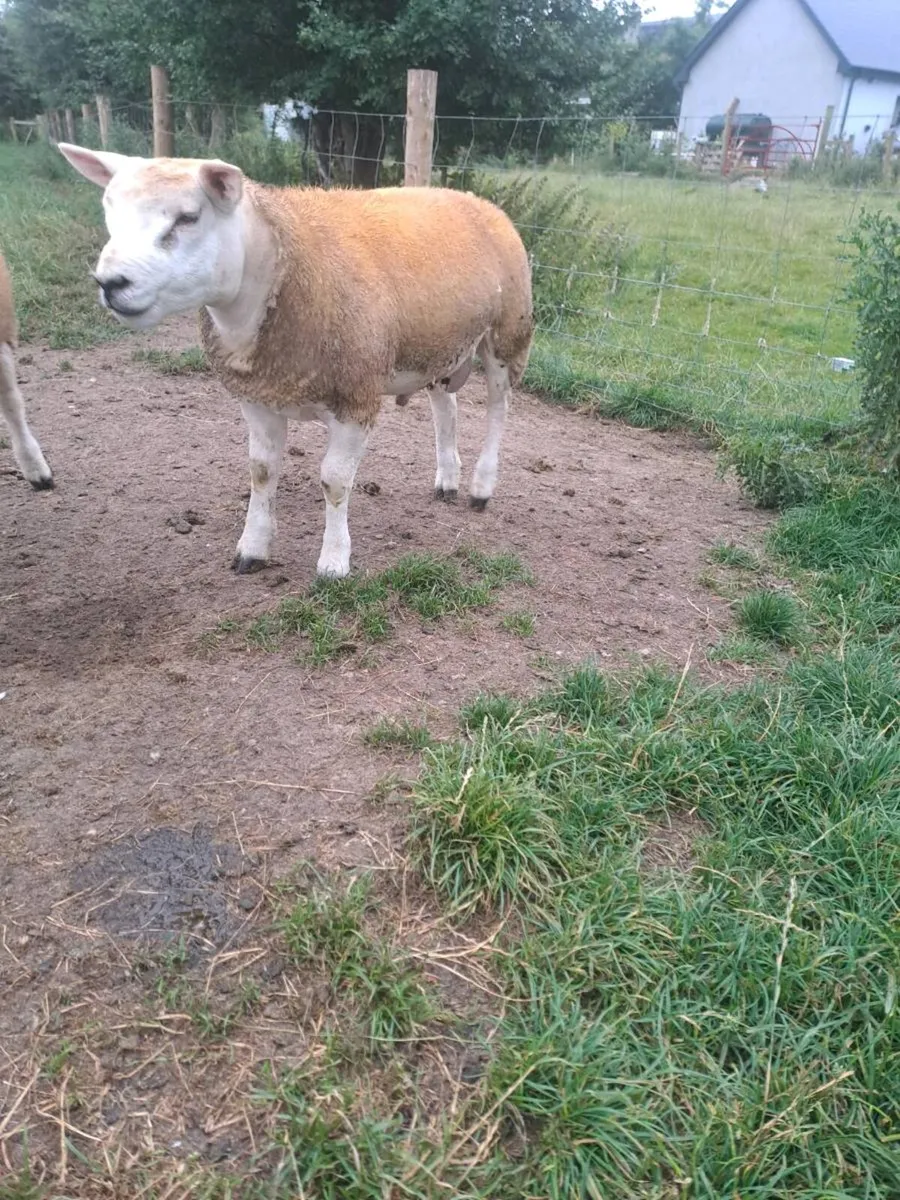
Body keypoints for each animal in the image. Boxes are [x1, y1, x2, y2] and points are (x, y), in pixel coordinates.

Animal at [57, 143, 534, 578]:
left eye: (188, 217)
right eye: (110, 212)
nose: (110, 282)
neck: (280, 264)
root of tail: (474, 199)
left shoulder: (356, 397)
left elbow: (335, 480)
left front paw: (333, 563)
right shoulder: (258, 396)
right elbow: (262, 472)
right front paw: (252, 549)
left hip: (509, 334)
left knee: (498, 411)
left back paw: (481, 487)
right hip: (438, 344)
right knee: (445, 408)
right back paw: (447, 479)